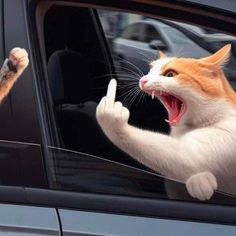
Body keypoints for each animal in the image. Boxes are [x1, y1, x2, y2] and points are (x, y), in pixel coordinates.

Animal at [95, 43, 236, 199]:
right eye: (150, 70)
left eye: (170, 74)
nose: (143, 80)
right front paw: (198, 181)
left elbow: (187, 158)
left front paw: (113, 120)